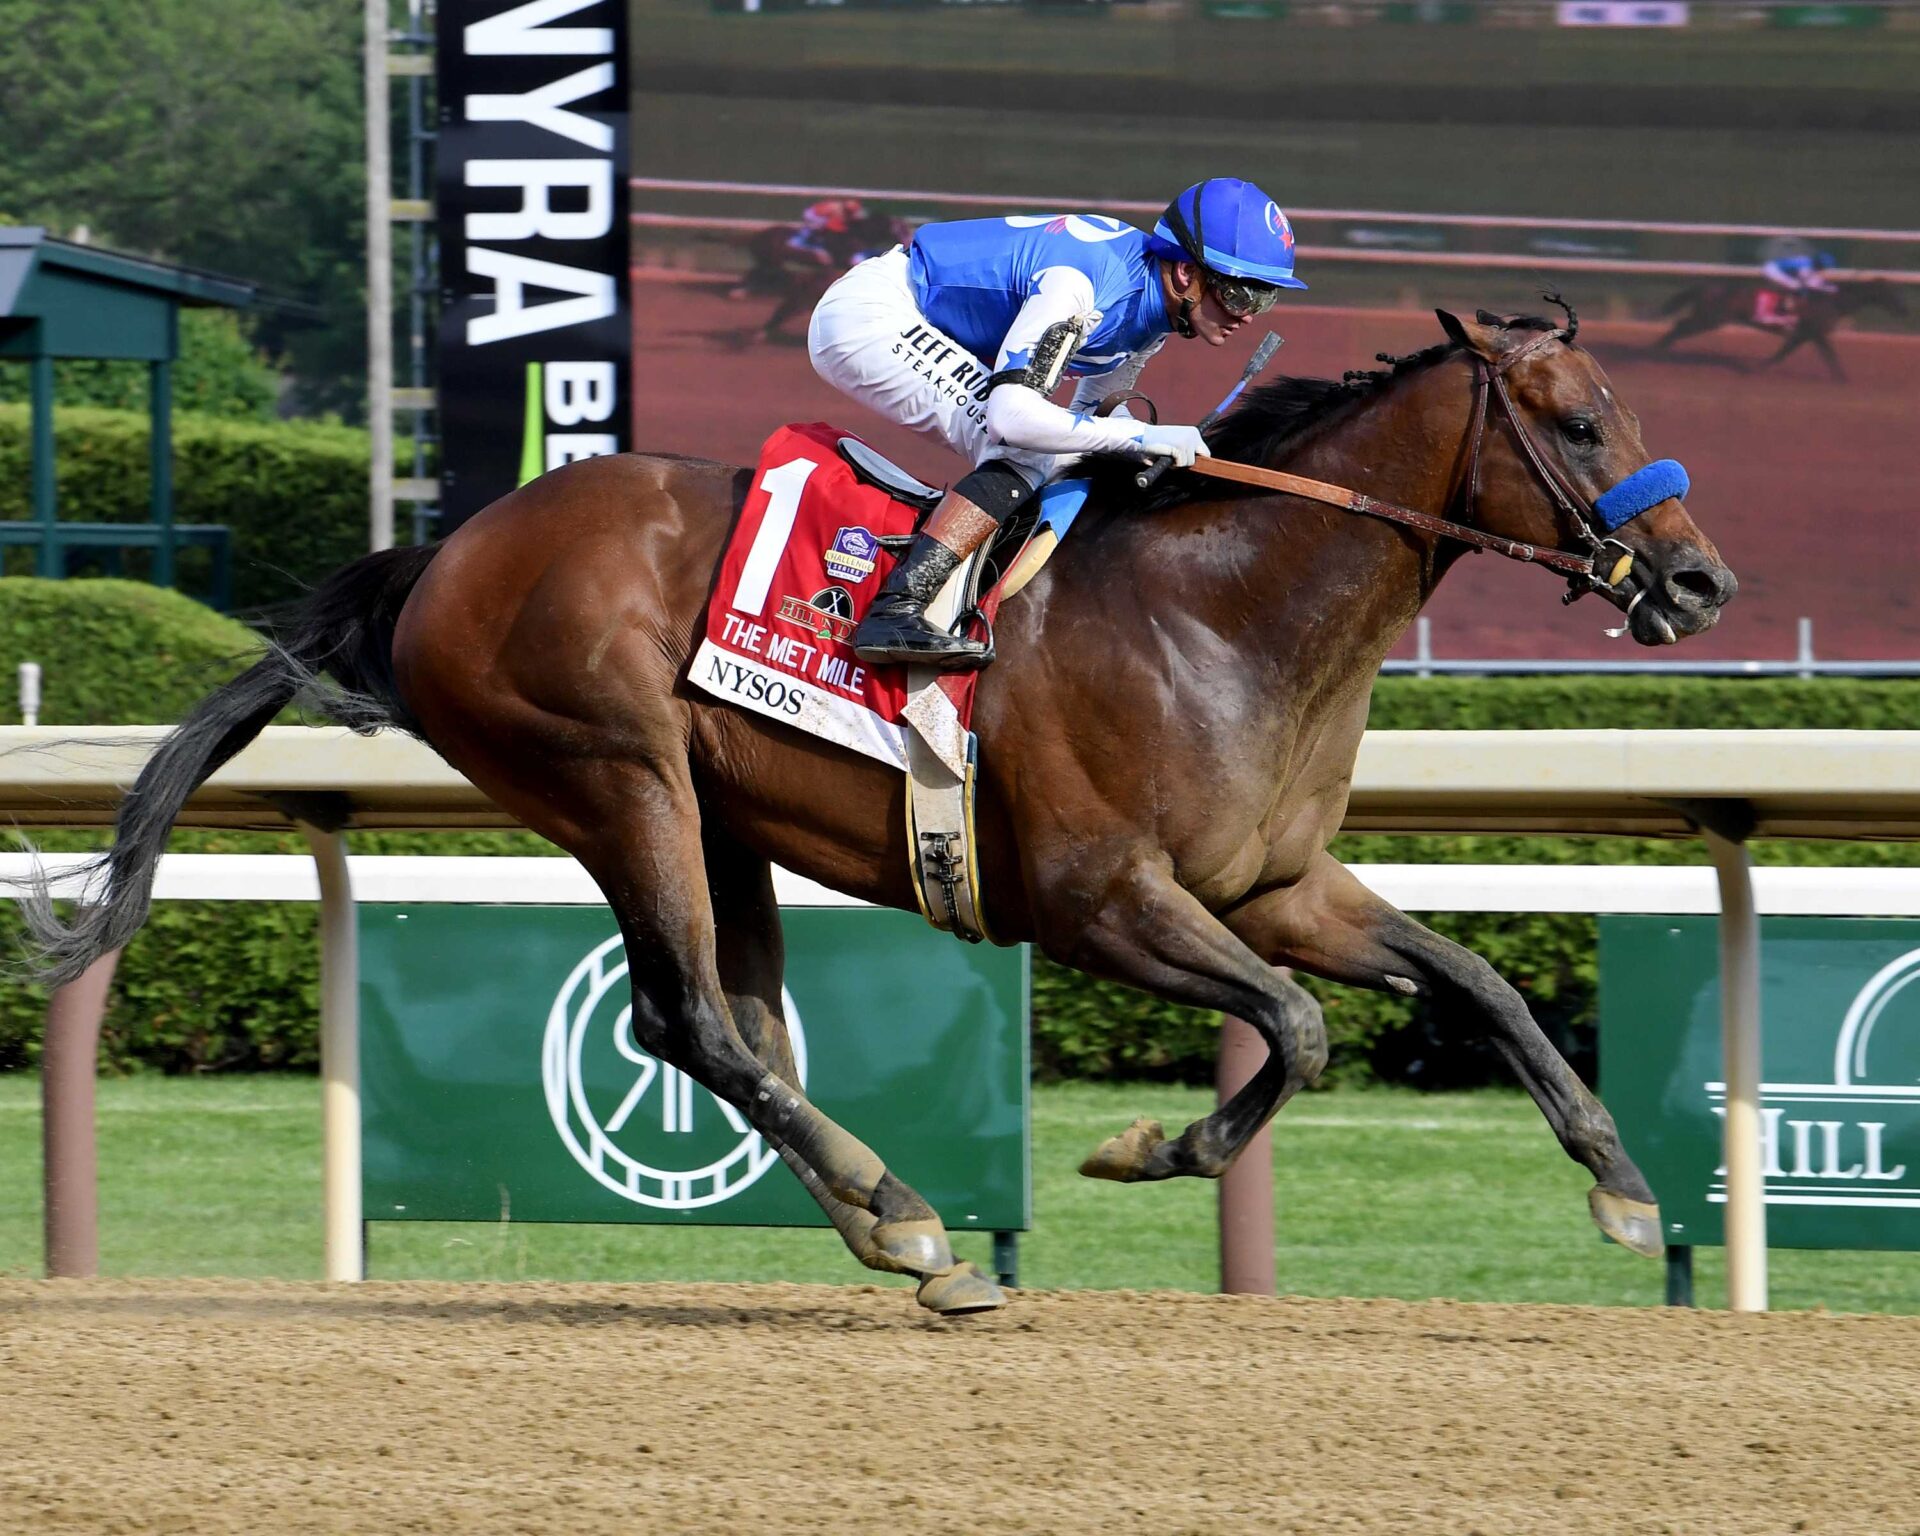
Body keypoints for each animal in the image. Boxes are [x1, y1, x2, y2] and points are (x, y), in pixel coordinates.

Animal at [21, 305, 1737, 1314]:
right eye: (1579, 423)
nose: (1701, 580)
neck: (1224, 612)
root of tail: (445, 551)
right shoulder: (1100, 899)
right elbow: (1301, 1032)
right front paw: (1147, 1148)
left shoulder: (1276, 887)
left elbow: (1481, 984)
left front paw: (1625, 1190)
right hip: (615, 777)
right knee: (691, 1018)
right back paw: (907, 1221)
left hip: (713, 814)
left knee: (728, 1028)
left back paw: (885, 1228)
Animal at [1651, 277, 1908, 381]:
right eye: (1890, 293)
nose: (1903, 310)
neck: (1832, 301)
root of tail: (1707, 286)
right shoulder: (1815, 333)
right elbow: (1829, 355)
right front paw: (1843, 378)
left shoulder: (1804, 334)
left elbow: (1783, 352)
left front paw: (1758, 367)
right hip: (1710, 318)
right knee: (1680, 326)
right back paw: (1658, 351)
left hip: (1709, 317)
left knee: (1680, 325)